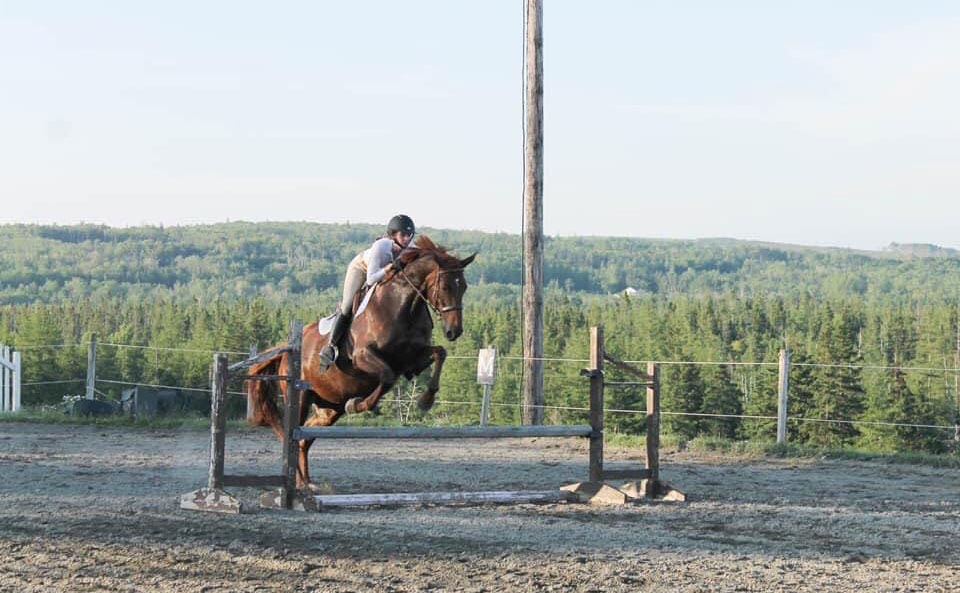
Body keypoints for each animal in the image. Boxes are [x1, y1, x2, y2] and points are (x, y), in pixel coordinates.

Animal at [246, 234, 474, 488]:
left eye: (464, 287)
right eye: (445, 286)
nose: (454, 331)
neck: (404, 305)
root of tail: (287, 351)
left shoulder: (411, 360)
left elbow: (439, 353)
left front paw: (426, 400)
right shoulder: (362, 357)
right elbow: (387, 377)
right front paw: (357, 405)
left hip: (329, 408)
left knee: (304, 439)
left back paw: (306, 483)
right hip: (302, 396)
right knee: (294, 435)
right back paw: (299, 483)